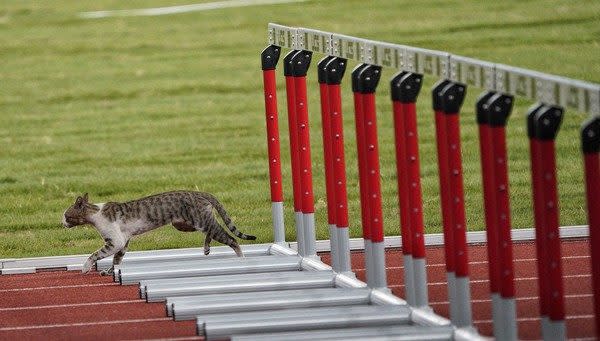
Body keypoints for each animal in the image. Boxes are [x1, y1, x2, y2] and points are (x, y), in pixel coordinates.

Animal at [61, 190, 255, 274]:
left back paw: (241, 259)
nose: (61, 222)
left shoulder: (115, 242)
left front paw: (85, 267)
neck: (95, 213)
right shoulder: (123, 243)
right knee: (212, 232)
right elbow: (117, 261)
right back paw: (206, 248)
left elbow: (95, 255)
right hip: (186, 224)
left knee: (232, 240)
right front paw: (111, 272)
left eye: (66, 215)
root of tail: (200, 193)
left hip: (200, 222)